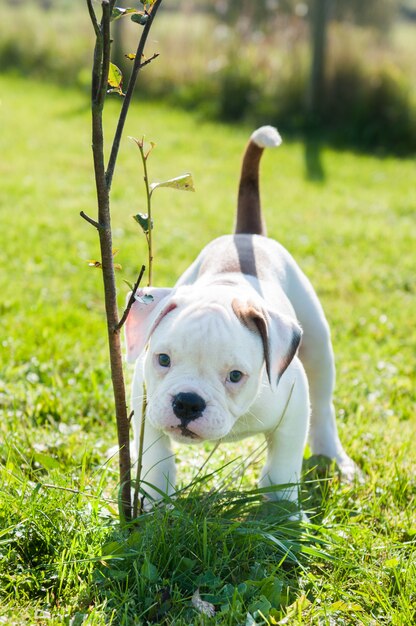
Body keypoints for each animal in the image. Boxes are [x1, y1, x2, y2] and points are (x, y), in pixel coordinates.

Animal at [125, 125, 356, 508]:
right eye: (163, 359)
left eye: (236, 376)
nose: (188, 403)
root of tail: (247, 235)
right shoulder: (145, 403)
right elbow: (157, 458)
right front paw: (156, 504)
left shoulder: (294, 407)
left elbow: (282, 468)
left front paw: (282, 513)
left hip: (318, 346)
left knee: (323, 407)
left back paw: (336, 458)